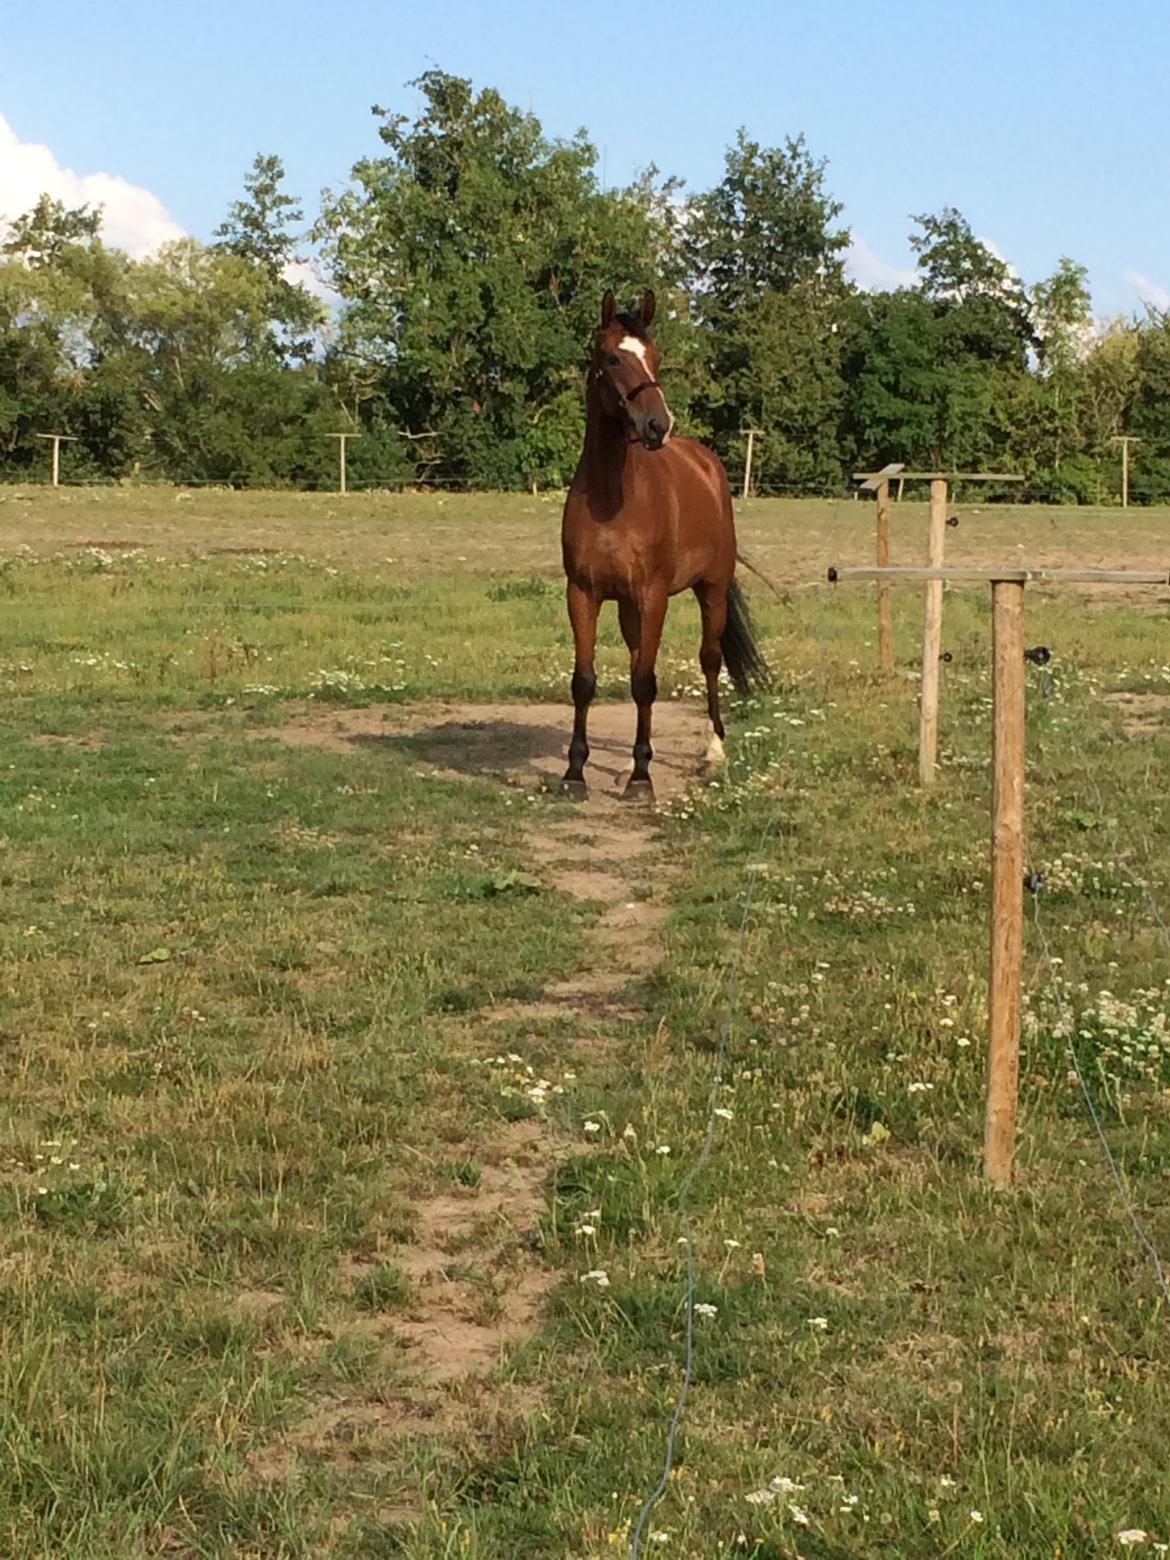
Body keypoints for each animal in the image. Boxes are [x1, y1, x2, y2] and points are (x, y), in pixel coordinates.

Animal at [564, 288, 773, 798]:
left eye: (655, 356)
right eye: (613, 358)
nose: (658, 424)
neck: (612, 498)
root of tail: (707, 463)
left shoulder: (653, 595)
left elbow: (645, 682)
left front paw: (641, 778)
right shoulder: (583, 594)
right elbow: (586, 681)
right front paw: (575, 772)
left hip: (710, 589)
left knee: (710, 660)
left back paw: (713, 750)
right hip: (628, 608)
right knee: (640, 658)